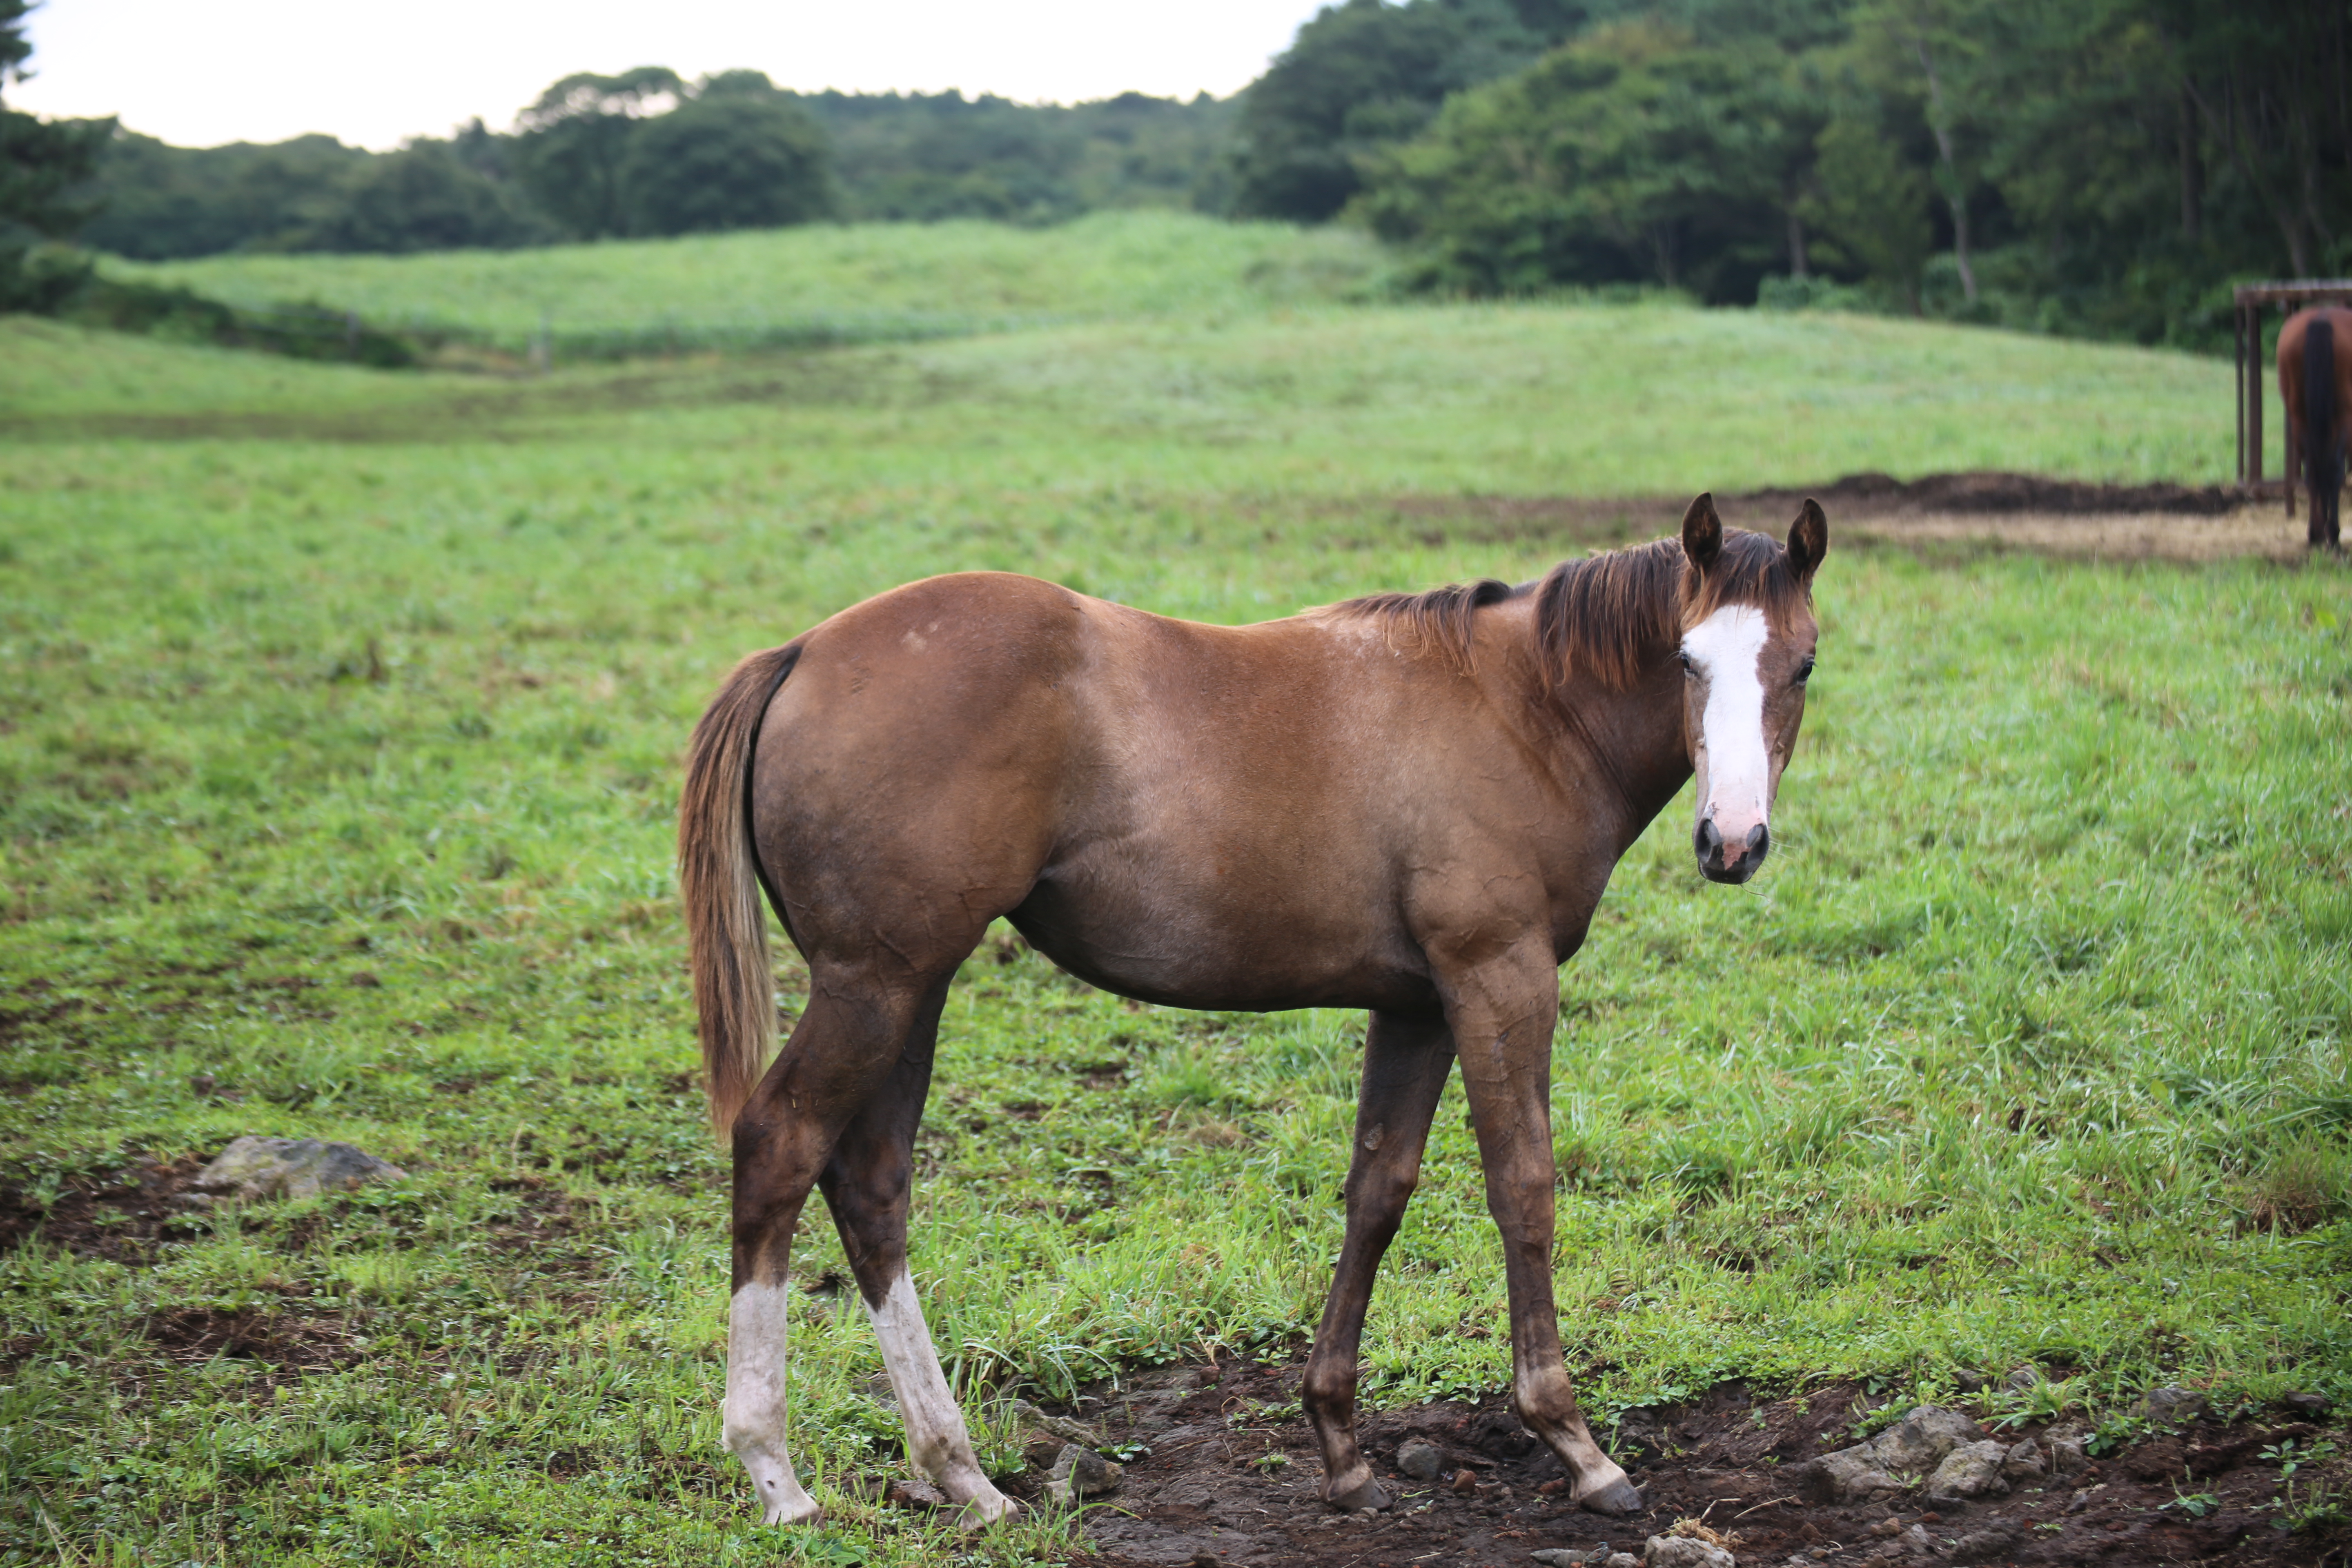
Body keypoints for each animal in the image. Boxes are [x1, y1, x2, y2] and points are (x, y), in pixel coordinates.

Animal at [673, 496, 1825, 1523]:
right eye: (1686, 661)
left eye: (1802, 664)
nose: (1732, 840)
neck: (1519, 706)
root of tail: (802, 652)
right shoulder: (1499, 976)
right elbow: (1523, 1187)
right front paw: (1576, 1446)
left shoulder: (1416, 1006)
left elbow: (1378, 1191)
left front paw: (1340, 1448)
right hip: (873, 985)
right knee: (780, 1147)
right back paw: (775, 1472)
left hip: (911, 988)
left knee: (870, 1186)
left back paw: (960, 1473)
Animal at [2276, 303, 2352, 550]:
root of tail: (2321, 320)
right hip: (2344, 416)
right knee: (2334, 471)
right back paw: (2333, 534)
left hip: (2300, 417)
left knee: (2314, 471)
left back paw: (2315, 533)